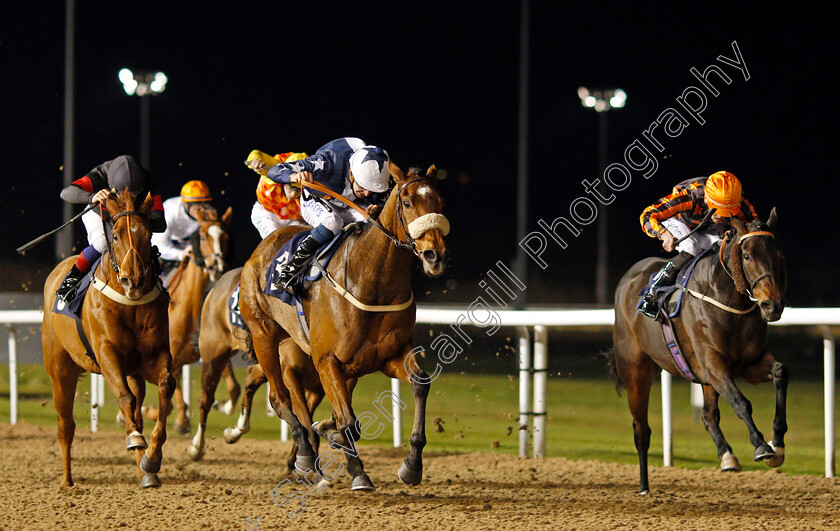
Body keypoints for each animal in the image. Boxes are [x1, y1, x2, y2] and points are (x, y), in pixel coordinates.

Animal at [42, 191, 176, 490]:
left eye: (148, 233)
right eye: (115, 235)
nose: (133, 279)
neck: (130, 304)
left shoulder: (154, 355)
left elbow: (165, 387)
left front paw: (152, 459)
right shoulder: (107, 354)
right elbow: (125, 399)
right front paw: (136, 441)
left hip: (133, 373)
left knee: (137, 410)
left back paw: (144, 472)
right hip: (61, 370)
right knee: (65, 426)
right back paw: (67, 481)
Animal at [141, 204, 233, 432]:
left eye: (226, 236)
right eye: (203, 236)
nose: (217, 266)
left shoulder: (213, 351)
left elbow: (234, 387)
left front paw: (223, 405)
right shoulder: (169, 359)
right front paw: (180, 420)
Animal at [188, 266, 332, 474]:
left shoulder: (317, 387)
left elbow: (307, 422)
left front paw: (296, 460)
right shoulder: (291, 375)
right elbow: (305, 422)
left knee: (250, 379)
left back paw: (235, 430)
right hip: (213, 354)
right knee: (205, 400)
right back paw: (197, 447)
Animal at [240, 162, 450, 490]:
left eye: (439, 201)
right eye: (407, 202)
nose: (434, 256)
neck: (373, 283)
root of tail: (263, 247)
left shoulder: (392, 356)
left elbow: (420, 384)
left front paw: (412, 465)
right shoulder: (326, 360)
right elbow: (349, 423)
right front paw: (358, 472)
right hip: (264, 335)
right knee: (279, 397)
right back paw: (305, 455)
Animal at [612, 209, 788, 494]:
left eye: (779, 254)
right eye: (747, 255)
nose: (772, 305)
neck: (727, 300)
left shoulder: (750, 364)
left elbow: (780, 373)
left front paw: (778, 444)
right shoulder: (713, 365)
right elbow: (741, 402)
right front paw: (761, 445)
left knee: (708, 415)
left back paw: (727, 456)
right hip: (635, 372)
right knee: (641, 430)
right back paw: (644, 486)